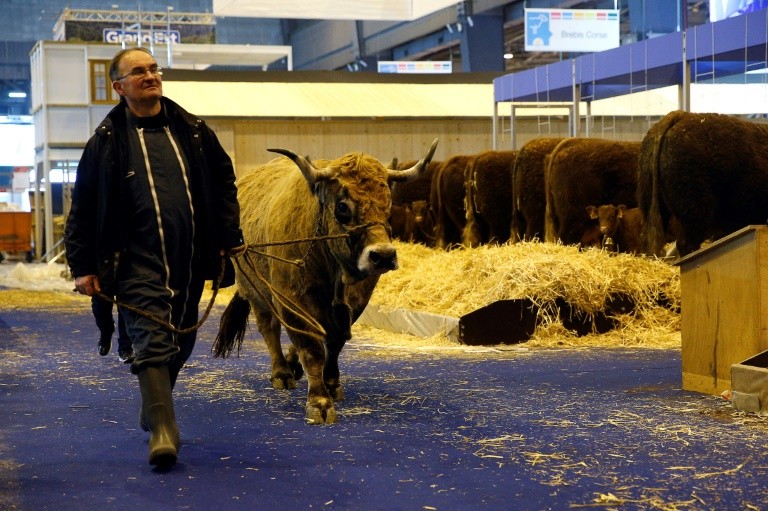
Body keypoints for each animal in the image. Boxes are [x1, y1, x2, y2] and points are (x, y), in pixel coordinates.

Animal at [213, 139, 438, 424]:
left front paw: (331, 384)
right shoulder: (291, 301)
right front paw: (319, 402)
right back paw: (281, 373)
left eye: (388, 204)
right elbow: (311, 348)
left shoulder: (354, 303)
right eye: (343, 206)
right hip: (256, 293)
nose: (384, 256)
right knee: (269, 330)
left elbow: (335, 342)